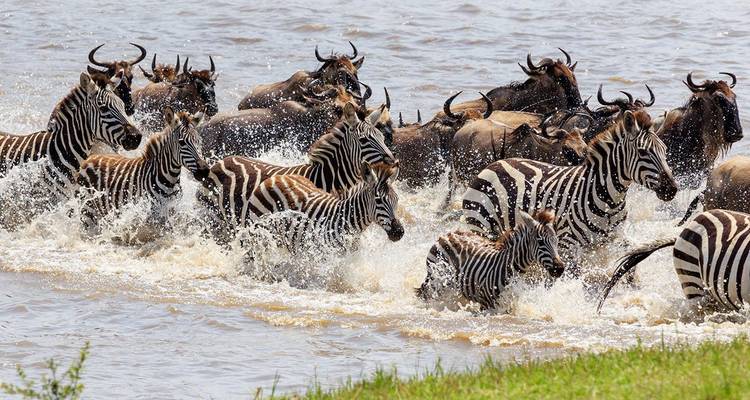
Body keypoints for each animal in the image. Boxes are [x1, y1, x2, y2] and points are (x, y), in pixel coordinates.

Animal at [77, 107, 207, 232]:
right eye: (182, 143)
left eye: (199, 141)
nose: (204, 170)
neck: (169, 179)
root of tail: (90, 158)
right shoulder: (151, 214)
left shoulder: (172, 210)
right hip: (88, 212)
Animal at [201, 101, 395, 229]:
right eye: (364, 140)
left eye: (381, 137)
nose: (393, 161)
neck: (325, 179)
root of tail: (221, 162)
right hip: (216, 218)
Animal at [246, 162, 404, 252]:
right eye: (378, 200)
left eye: (396, 200)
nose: (399, 232)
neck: (346, 221)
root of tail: (275, 177)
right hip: (259, 233)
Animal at [416, 209, 563, 310]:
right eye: (540, 242)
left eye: (556, 241)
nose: (560, 269)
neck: (510, 267)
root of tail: (448, 234)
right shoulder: (488, 305)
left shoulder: (507, 306)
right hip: (435, 280)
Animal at [461, 109, 678, 270]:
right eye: (643, 152)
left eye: (665, 150)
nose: (672, 189)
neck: (609, 200)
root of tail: (495, 164)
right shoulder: (567, 245)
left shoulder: (615, 240)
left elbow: (628, 267)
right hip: (480, 225)